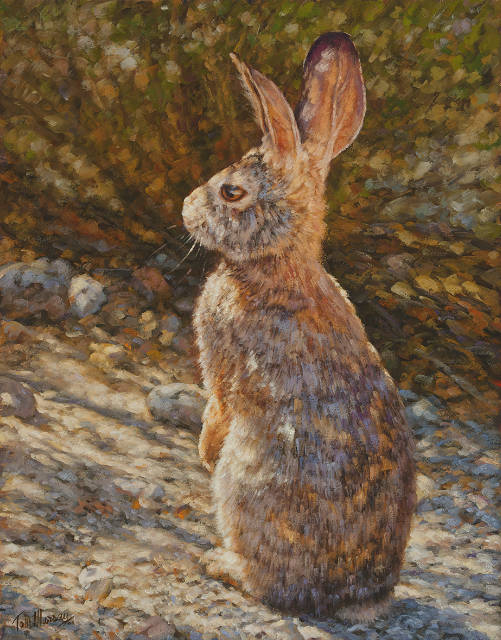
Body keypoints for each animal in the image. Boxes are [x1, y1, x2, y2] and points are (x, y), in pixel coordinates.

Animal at [182, 32, 416, 621]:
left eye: (231, 192)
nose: (185, 208)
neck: (279, 264)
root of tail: (349, 599)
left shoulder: (223, 368)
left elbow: (219, 406)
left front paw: (202, 451)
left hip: (245, 486)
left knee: (267, 584)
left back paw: (218, 563)